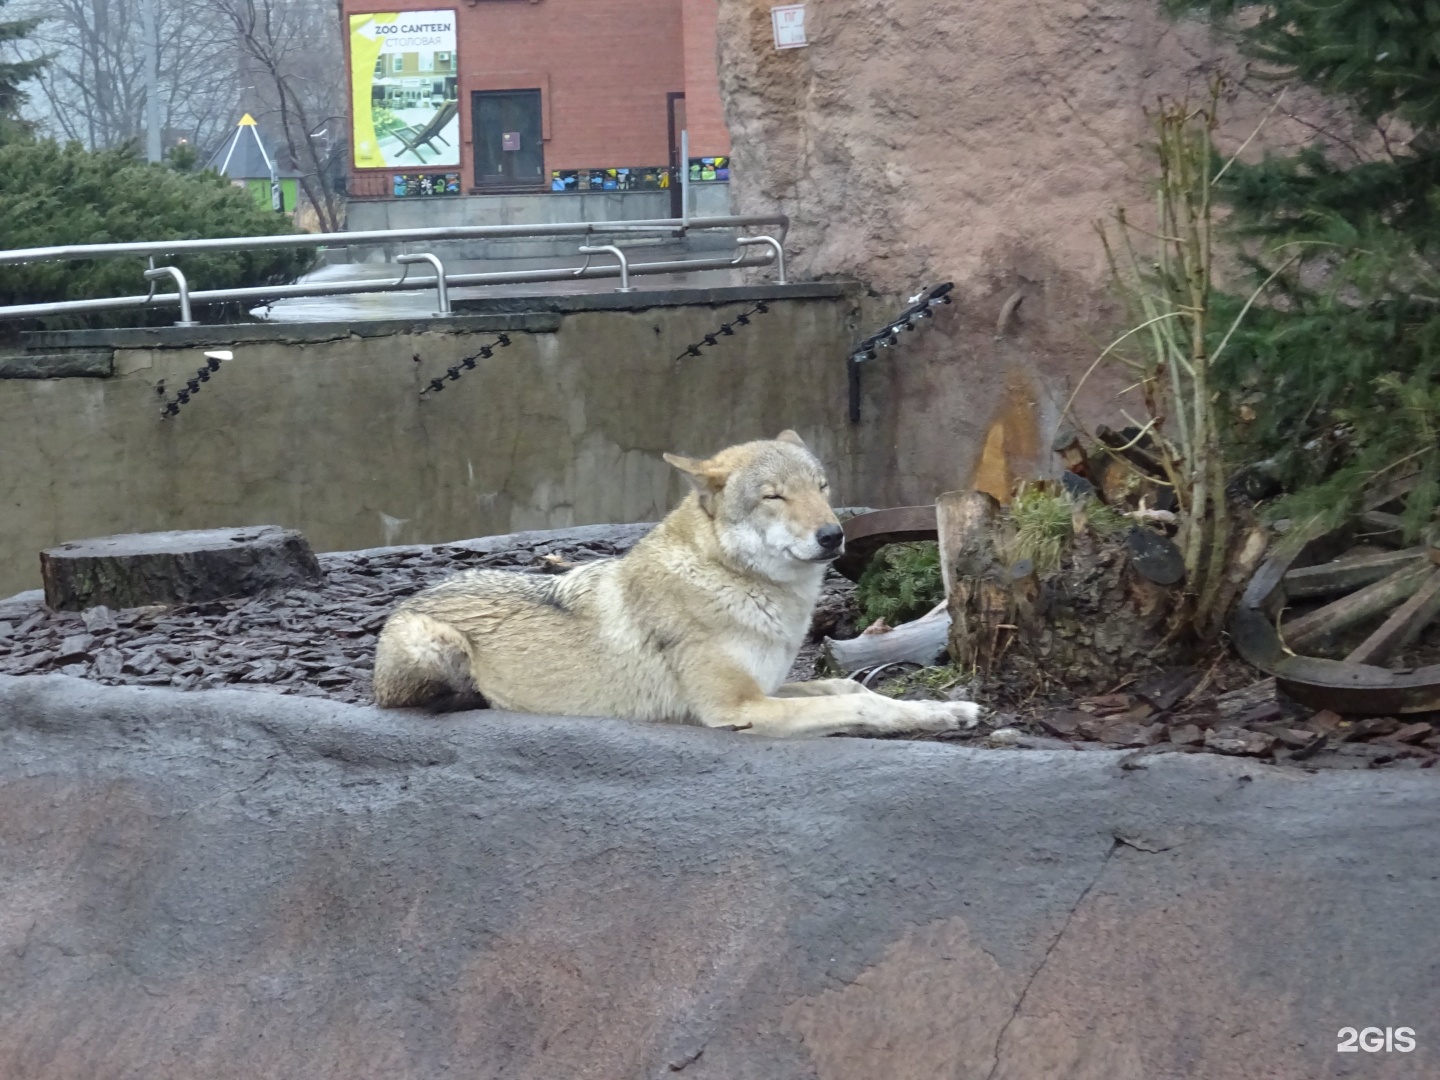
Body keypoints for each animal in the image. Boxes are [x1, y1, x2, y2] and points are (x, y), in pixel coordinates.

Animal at [371, 434, 979, 743]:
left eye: (822, 488)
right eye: (774, 496)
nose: (834, 535)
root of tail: (411, 598)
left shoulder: (772, 685)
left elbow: (850, 688)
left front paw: (944, 712)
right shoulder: (739, 707)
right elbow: (859, 704)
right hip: (435, 644)